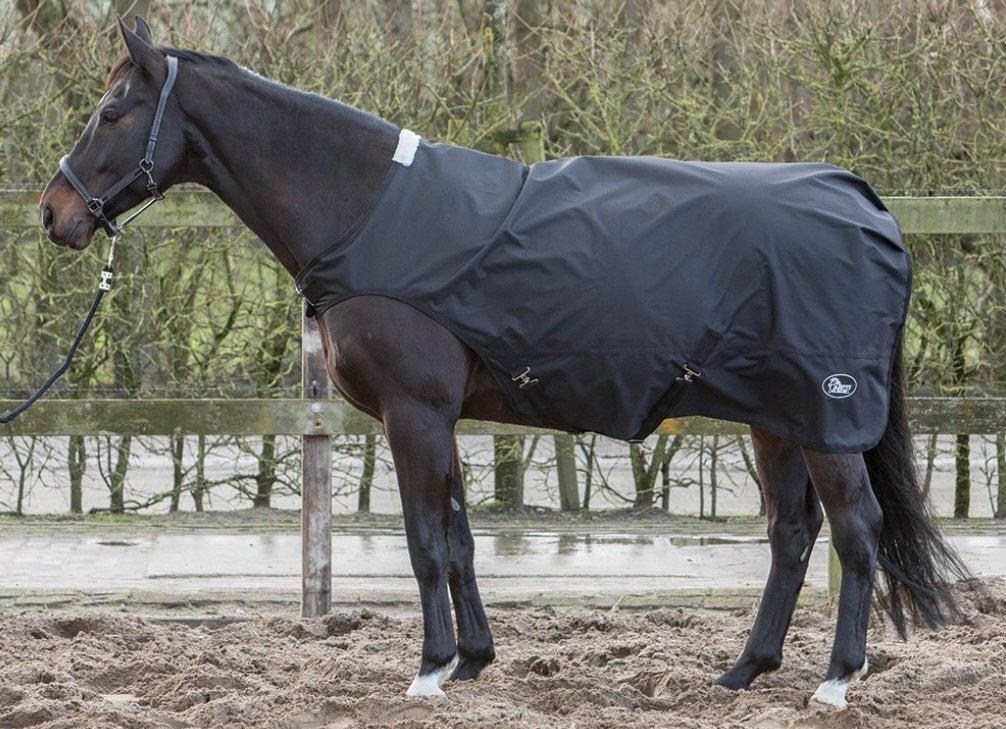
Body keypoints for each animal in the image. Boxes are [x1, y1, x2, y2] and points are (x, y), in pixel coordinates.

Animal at [39, 18, 972, 708]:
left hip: (827, 417)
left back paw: (836, 680)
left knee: (856, 531)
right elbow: (458, 538)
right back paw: (744, 671)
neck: (367, 209)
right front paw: (473, 658)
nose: (54, 214)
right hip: (776, 418)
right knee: (792, 533)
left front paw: (427, 670)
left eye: (113, 110)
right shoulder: (439, 418)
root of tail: (865, 204)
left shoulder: (414, 414)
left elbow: (424, 540)